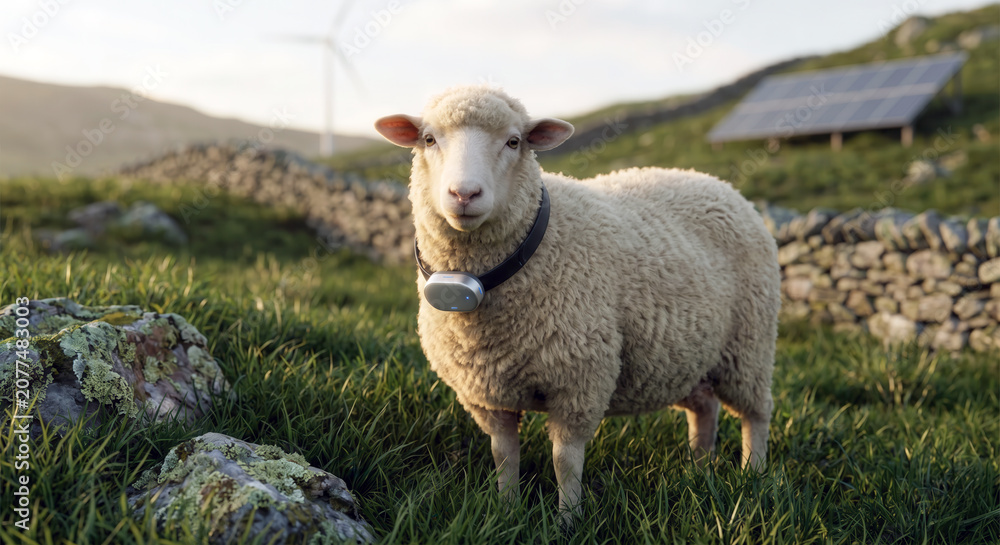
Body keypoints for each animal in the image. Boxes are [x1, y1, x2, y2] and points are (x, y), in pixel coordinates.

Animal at [374, 85, 781, 524]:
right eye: (429, 139)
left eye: (514, 142)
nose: (464, 194)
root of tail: (721, 186)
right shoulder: (487, 393)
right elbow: (504, 455)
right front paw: (507, 509)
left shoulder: (579, 380)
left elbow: (564, 460)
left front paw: (568, 520)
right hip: (686, 357)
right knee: (705, 408)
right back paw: (699, 468)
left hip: (749, 345)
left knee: (756, 414)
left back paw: (754, 473)